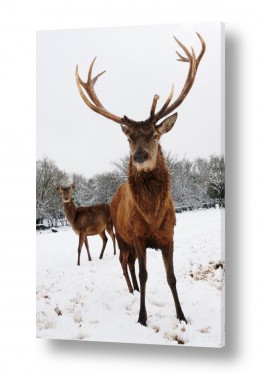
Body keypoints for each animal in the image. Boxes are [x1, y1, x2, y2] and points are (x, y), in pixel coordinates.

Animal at [74, 32, 206, 324]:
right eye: (129, 139)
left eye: (155, 134)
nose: (140, 156)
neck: (153, 217)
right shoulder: (137, 236)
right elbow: (146, 276)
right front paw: (142, 317)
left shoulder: (169, 236)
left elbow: (171, 277)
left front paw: (182, 316)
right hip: (120, 235)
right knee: (126, 264)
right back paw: (131, 290)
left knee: (130, 264)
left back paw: (133, 290)